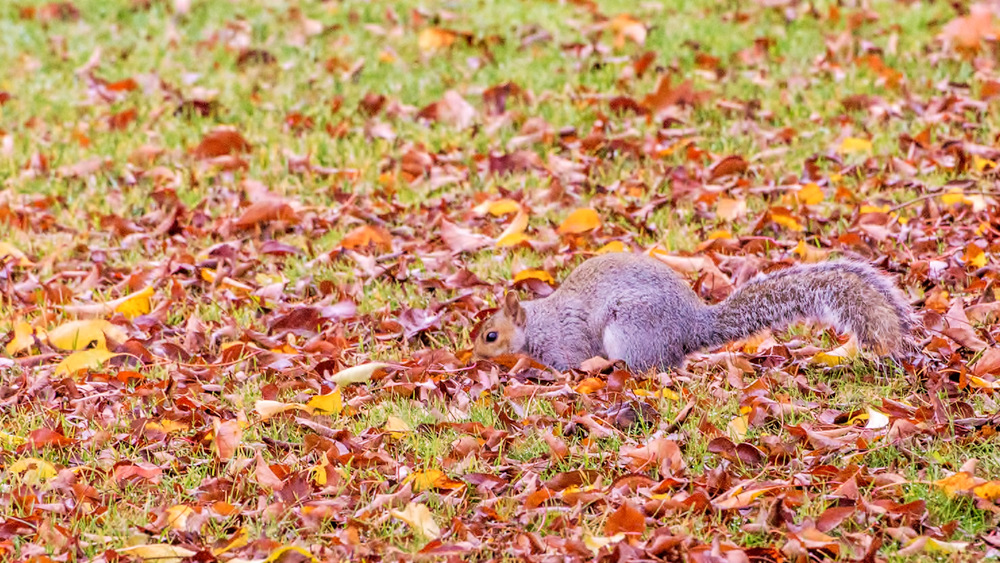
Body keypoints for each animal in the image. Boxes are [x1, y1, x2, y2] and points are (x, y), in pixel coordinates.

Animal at [472, 252, 914, 371]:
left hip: (630, 331)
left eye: (490, 335)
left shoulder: (564, 345)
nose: (473, 356)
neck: (536, 323)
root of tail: (690, 327)